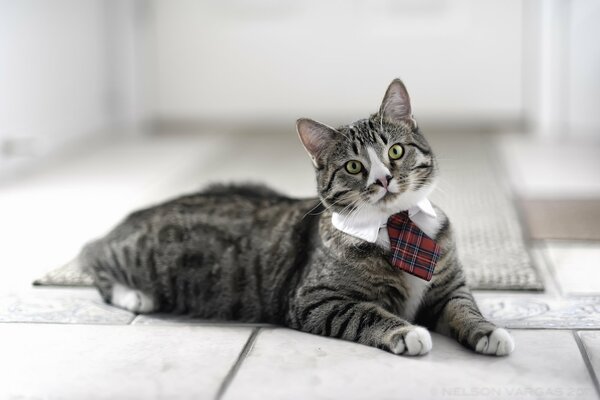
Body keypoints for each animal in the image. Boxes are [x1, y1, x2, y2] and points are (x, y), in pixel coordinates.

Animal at [79, 78, 516, 356]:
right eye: (354, 166)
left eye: (395, 151)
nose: (384, 178)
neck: (397, 227)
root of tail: (135, 215)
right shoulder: (316, 298)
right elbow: (364, 313)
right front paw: (407, 332)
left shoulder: (448, 285)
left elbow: (464, 306)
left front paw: (489, 331)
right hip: (136, 255)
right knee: (93, 255)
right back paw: (134, 293)